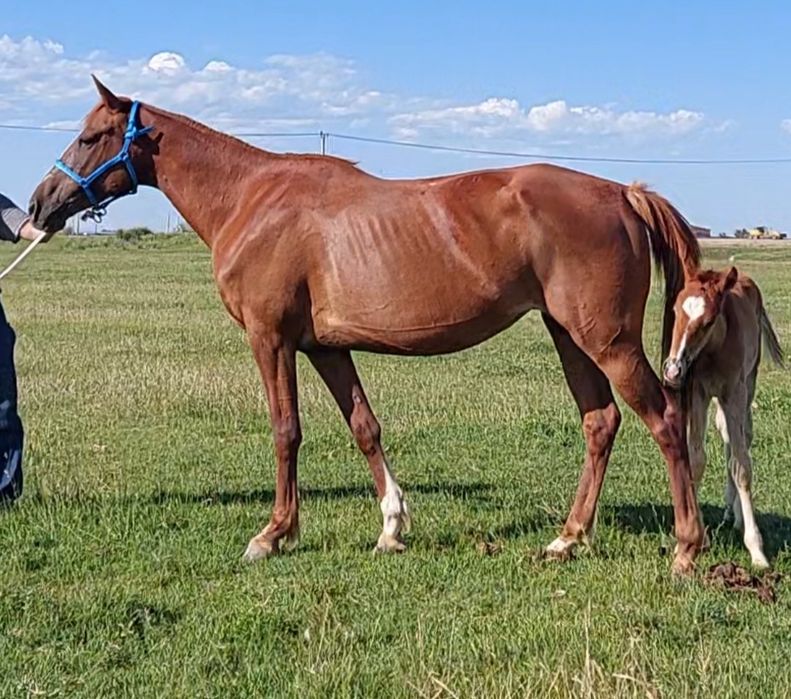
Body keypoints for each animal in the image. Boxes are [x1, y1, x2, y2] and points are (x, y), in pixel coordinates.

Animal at [29, 77, 705, 573]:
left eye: (91, 136)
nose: (39, 203)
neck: (250, 197)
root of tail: (623, 192)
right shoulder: (325, 347)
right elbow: (364, 427)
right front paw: (391, 526)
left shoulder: (270, 338)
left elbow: (286, 431)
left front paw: (273, 533)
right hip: (570, 337)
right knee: (601, 423)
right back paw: (568, 538)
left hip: (607, 341)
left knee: (664, 422)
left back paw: (685, 546)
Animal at [663, 266, 784, 568]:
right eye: (675, 310)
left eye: (707, 321)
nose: (672, 370)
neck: (713, 352)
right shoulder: (698, 393)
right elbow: (696, 460)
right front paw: (692, 539)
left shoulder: (734, 393)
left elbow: (741, 466)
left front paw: (757, 551)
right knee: (727, 434)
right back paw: (730, 509)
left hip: (748, 385)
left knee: (742, 438)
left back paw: (738, 516)